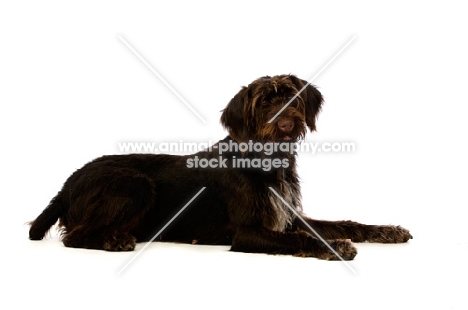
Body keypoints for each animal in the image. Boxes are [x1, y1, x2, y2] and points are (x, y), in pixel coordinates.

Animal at [29, 74, 412, 260]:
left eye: (291, 96)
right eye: (263, 102)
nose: (286, 124)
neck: (267, 161)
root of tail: (66, 184)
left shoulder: (289, 216)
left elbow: (343, 224)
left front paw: (387, 230)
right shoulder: (247, 232)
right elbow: (302, 238)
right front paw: (335, 248)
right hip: (135, 184)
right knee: (74, 237)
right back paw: (114, 240)